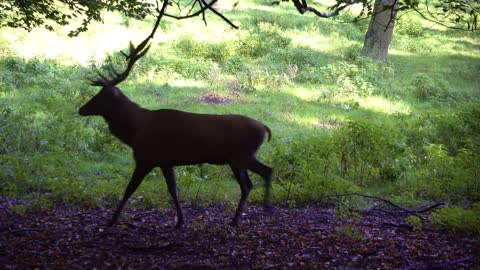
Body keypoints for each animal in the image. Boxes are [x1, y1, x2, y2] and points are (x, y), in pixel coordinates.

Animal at [80, 39, 272, 228]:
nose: (81, 109)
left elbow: (129, 190)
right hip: (239, 159)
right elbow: (173, 190)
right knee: (252, 182)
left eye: (101, 96)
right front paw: (180, 220)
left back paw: (258, 209)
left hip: (240, 156)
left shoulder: (145, 158)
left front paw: (112, 220)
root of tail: (265, 128)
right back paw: (242, 216)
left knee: (261, 174)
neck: (134, 131)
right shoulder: (165, 162)